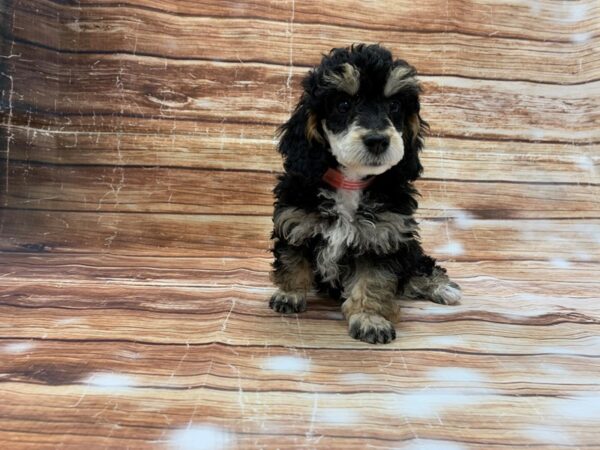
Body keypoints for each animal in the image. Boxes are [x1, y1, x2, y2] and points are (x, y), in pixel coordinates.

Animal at [270, 43, 462, 344]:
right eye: (343, 105)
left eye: (394, 106)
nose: (377, 140)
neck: (351, 181)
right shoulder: (296, 221)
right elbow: (292, 260)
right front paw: (289, 294)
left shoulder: (383, 236)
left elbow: (373, 282)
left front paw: (370, 319)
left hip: (409, 246)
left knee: (419, 266)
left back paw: (441, 287)